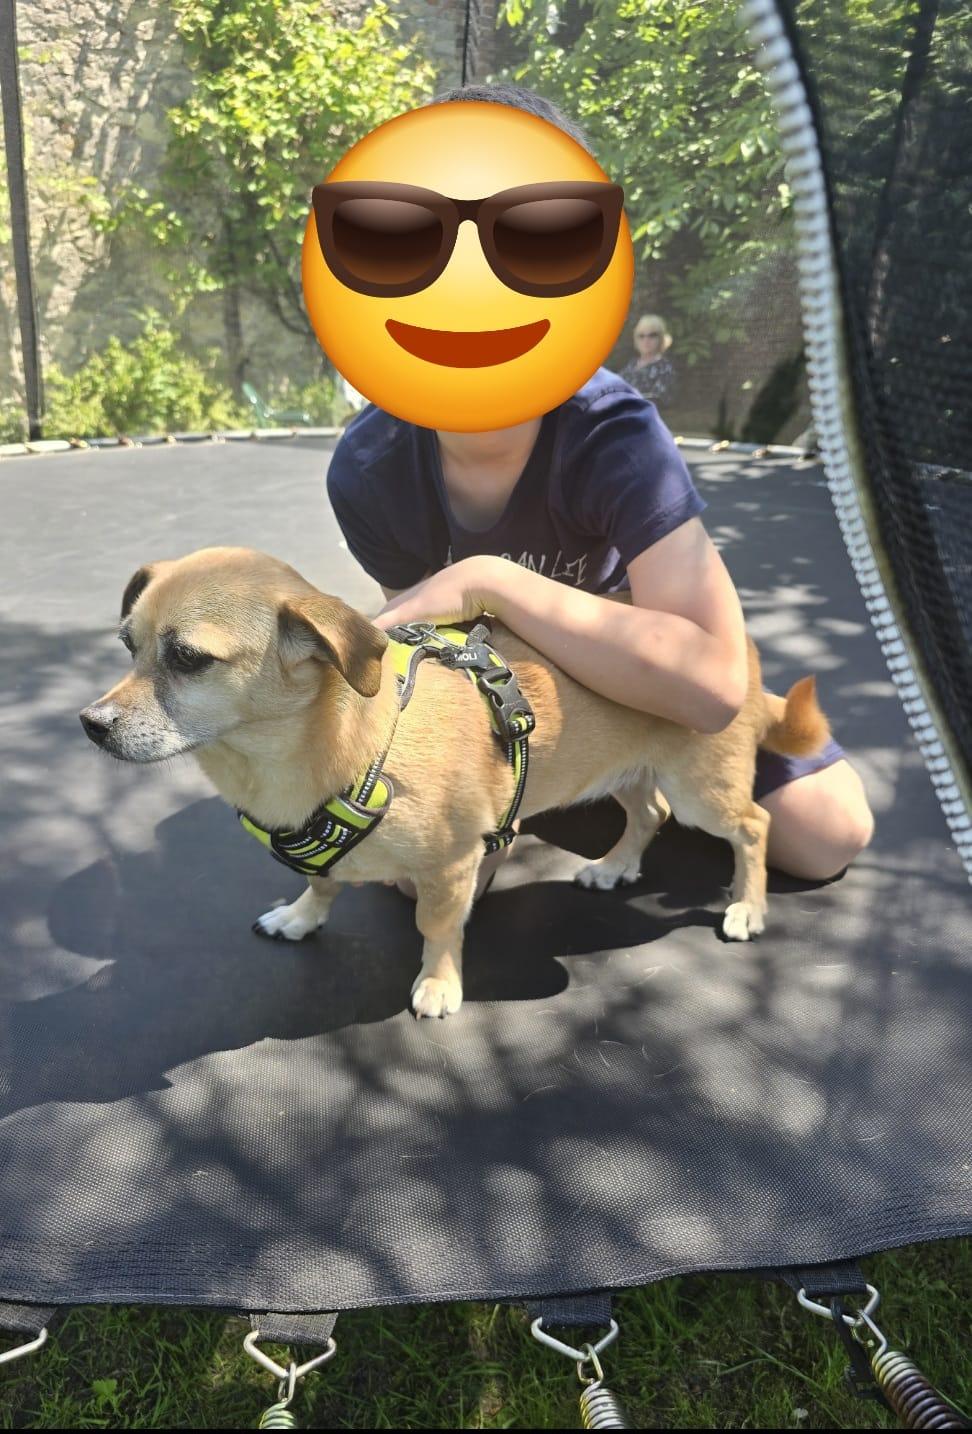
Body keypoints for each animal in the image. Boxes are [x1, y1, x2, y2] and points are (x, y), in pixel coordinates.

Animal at [80, 547, 829, 1018]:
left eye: (188, 658)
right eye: (127, 646)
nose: (90, 723)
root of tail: (744, 651)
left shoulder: (450, 868)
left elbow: (436, 926)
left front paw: (438, 985)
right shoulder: (329, 851)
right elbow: (323, 882)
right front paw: (300, 917)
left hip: (706, 792)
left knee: (752, 826)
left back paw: (748, 907)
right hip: (625, 772)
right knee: (649, 812)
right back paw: (615, 866)